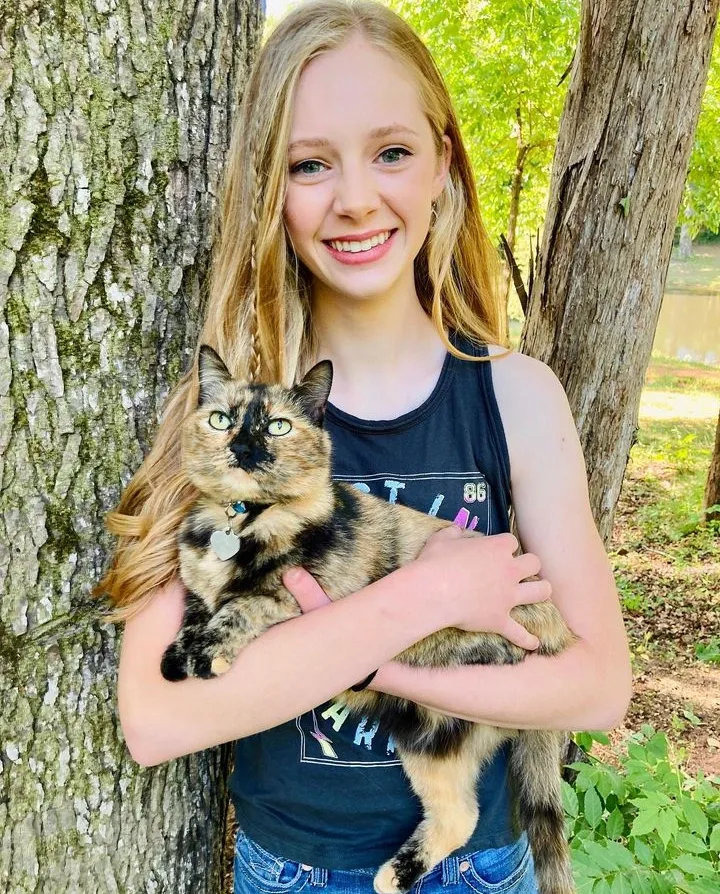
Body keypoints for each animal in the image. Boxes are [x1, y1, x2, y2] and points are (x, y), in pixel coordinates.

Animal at [160, 344, 576, 894]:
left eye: (278, 426)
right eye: (221, 419)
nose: (244, 448)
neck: (238, 521)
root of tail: (560, 631)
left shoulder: (311, 596)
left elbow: (245, 604)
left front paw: (207, 653)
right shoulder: (196, 584)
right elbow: (194, 606)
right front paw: (177, 655)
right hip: (428, 739)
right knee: (458, 814)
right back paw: (396, 876)